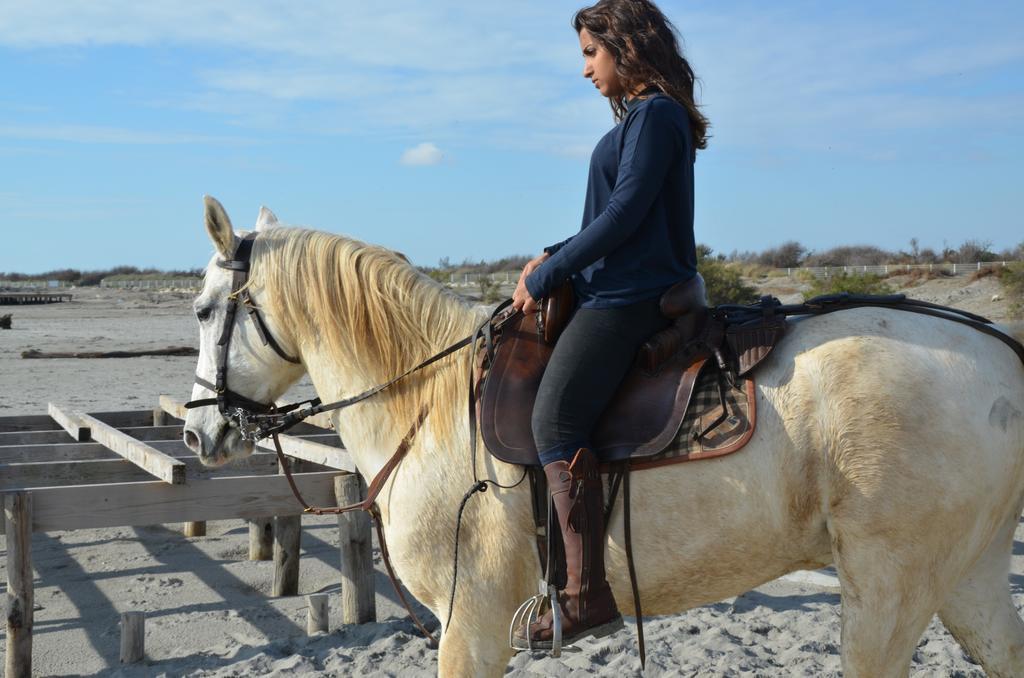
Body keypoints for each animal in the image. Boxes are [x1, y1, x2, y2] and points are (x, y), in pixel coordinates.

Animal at [184, 197, 1024, 678]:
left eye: (201, 309)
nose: (197, 432)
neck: (426, 403)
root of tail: (999, 354)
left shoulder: (471, 629)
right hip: (969, 577)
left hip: (891, 589)